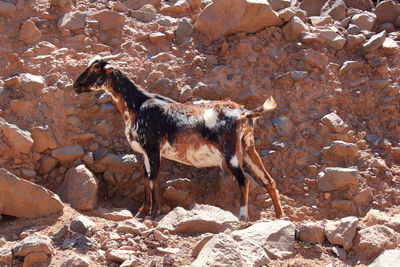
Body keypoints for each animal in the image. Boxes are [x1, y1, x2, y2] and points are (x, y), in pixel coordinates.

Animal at [73, 55, 286, 222]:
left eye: (94, 69)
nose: (75, 85)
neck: (136, 105)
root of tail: (245, 113)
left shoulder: (152, 148)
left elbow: (153, 178)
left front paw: (154, 213)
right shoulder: (145, 152)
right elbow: (146, 178)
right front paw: (142, 212)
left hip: (230, 151)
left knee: (245, 179)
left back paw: (243, 216)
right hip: (248, 147)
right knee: (268, 180)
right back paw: (279, 216)